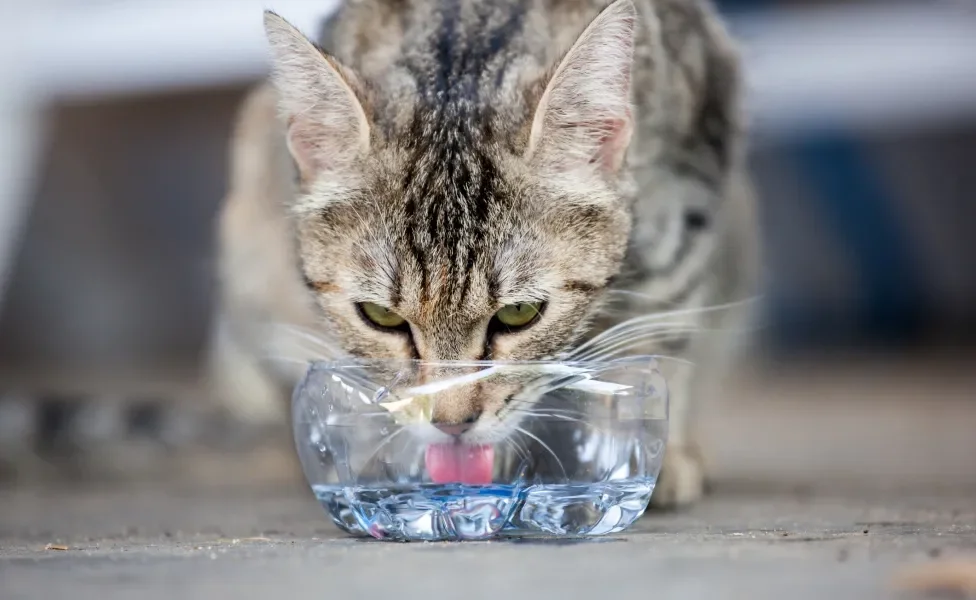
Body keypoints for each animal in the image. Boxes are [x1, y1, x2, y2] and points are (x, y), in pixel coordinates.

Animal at [208, 0, 764, 508]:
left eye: (520, 313)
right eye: (380, 317)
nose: (452, 425)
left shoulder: (689, 201)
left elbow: (662, 333)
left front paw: (641, 454)